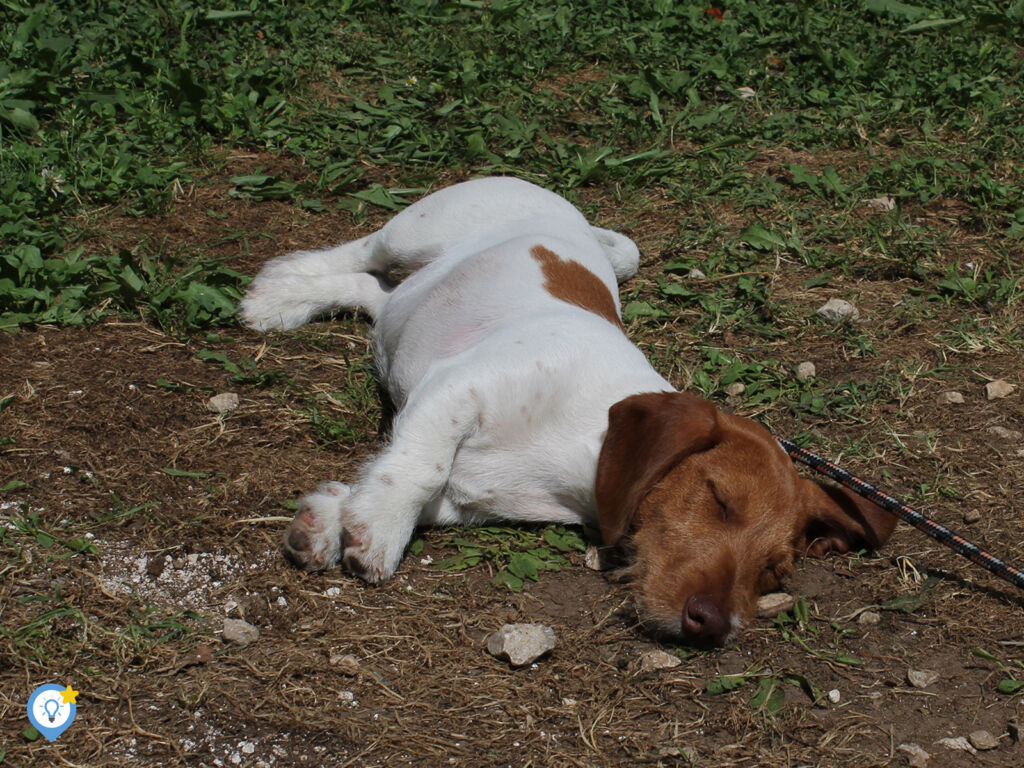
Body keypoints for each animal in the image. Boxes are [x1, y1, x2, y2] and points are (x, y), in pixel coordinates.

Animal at [241, 177, 897, 647]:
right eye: (718, 499)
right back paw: (279, 291)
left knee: (373, 293)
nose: (716, 626)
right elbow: (419, 466)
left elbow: (403, 476)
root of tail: (567, 209)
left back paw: (291, 301)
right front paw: (377, 528)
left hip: (406, 294)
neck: (583, 445)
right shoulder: (457, 387)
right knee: (357, 251)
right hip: (416, 229)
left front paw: (330, 519)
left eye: (773, 572)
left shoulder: (464, 490)